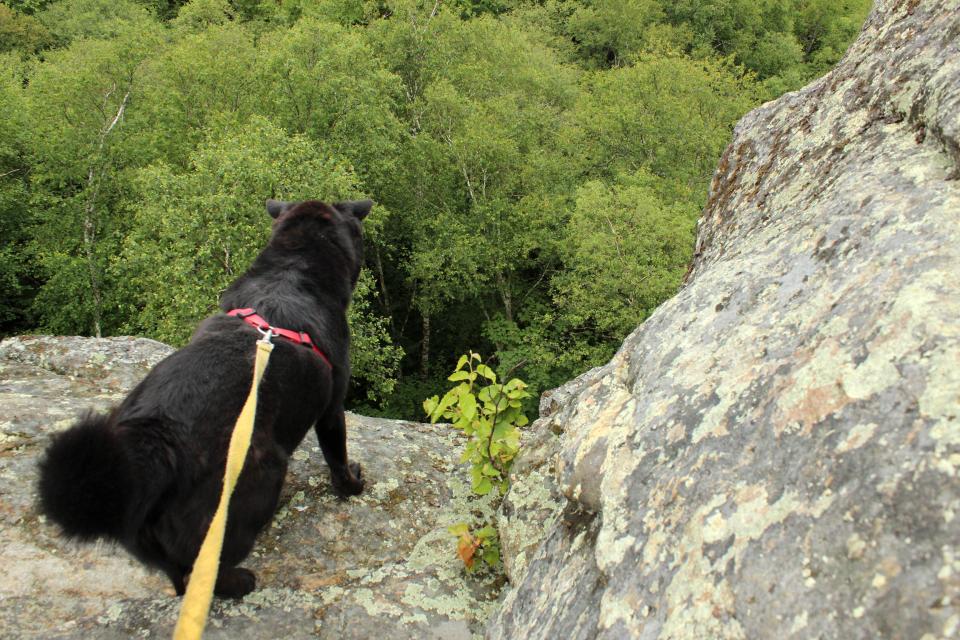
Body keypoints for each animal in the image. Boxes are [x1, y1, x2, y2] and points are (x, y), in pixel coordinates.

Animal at [38, 198, 368, 596]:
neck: (291, 271)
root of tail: (154, 448)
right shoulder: (333, 407)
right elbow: (337, 458)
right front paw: (353, 485)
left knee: (181, 579)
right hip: (259, 479)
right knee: (210, 566)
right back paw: (241, 581)